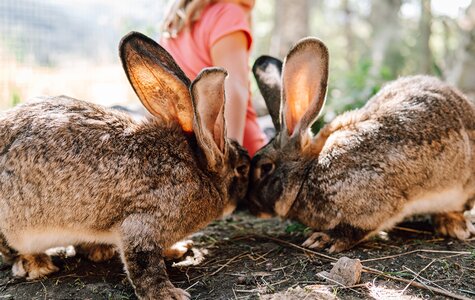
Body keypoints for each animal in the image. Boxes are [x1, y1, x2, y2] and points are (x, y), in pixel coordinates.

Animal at [0, 31, 251, 298]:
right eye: (242, 168)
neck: (199, 170)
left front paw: (178, 249)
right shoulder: (142, 224)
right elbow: (144, 264)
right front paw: (169, 293)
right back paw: (37, 265)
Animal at [249, 37, 475, 253]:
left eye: (265, 168)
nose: (250, 205)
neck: (307, 171)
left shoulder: (373, 204)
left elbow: (356, 228)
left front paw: (323, 239)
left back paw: (455, 225)